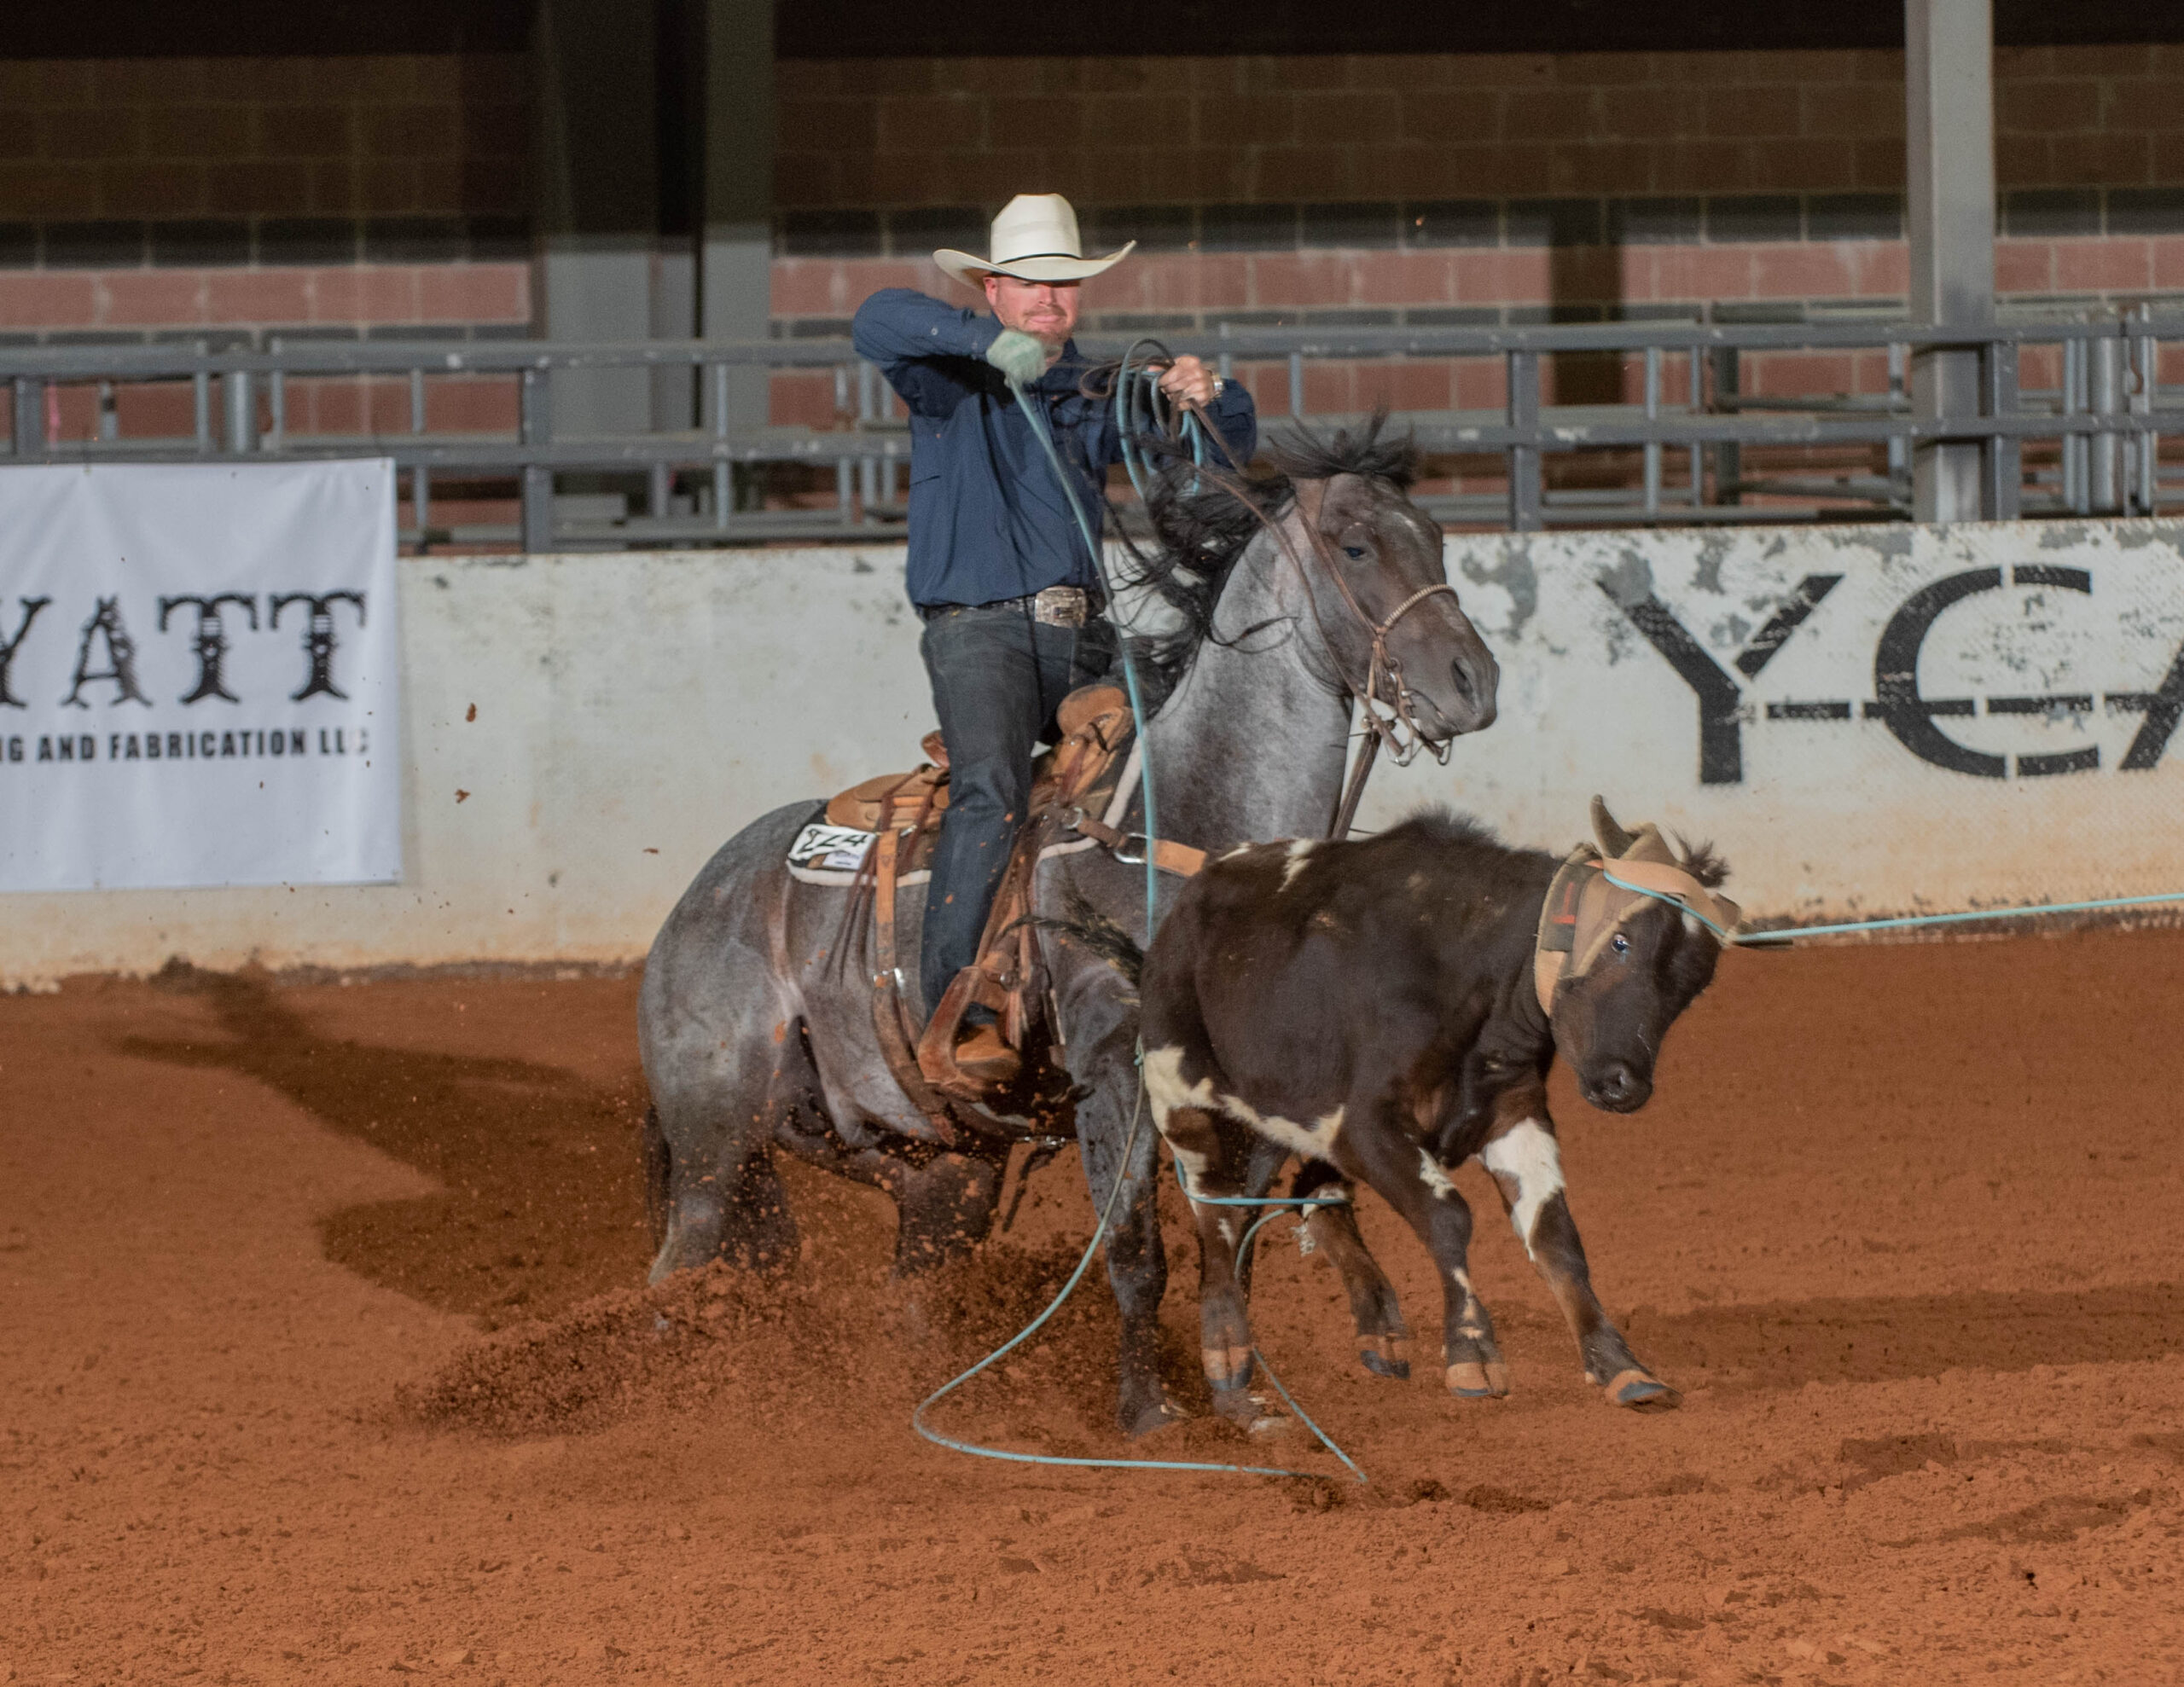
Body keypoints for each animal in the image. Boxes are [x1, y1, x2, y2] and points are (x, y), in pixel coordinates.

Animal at [637, 425, 1502, 1431]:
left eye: (1435, 538)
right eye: (1357, 547)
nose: (1474, 683)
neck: (1190, 821)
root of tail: (697, 903)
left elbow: (1234, 1238)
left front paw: (1239, 1396)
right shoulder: (1112, 1074)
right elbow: (1135, 1246)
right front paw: (1147, 1411)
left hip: (931, 1166)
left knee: (904, 1282)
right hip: (714, 1139)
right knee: (679, 1272)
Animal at [1118, 794, 1729, 1431]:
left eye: (1695, 981)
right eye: (1621, 942)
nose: (1624, 1084)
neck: (1475, 975)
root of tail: (1193, 892)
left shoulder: (1512, 1114)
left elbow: (1556, 1238)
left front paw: (1620, 1365)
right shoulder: (1364, 1126)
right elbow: (1449, 1216)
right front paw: (1472, 1351)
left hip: (1285, 1118)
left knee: (1306, 1196)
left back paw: (1380, 1329)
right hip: (1183, 1097)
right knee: (1219, 1220)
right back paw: (1229, 1359)